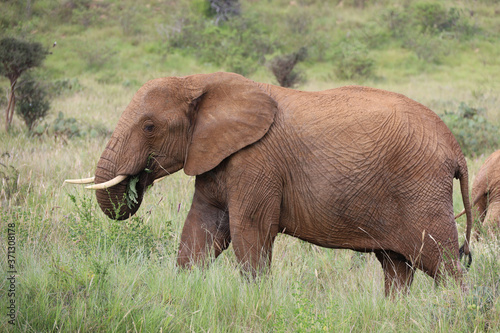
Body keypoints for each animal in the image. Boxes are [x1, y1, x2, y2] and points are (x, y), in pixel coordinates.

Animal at [66, 71, 472, 294]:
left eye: (149, 126)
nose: (136, 184)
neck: (200, 82)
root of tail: (457, 149)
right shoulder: (218, 158)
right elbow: (202, 228)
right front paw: (183, 292)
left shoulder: (256, 162)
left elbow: (250, 231)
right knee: (397, 267)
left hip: (421, 189)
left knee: (443, 263)